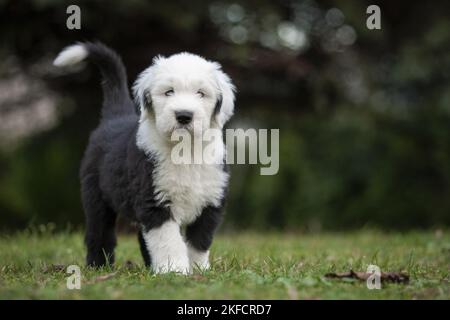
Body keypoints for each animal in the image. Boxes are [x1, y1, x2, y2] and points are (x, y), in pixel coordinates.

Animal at [54, 41, 236, 274]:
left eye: (201, 93)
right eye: (169, 92)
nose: (184, 115)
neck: (184, 151)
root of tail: (115, 117)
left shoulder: (211, 203)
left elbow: (199, 241)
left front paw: (197, 270)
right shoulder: (155, 201)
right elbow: (169, 240)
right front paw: (174, 271)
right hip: (95, 195)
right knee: (99, 233)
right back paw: (99, 266)